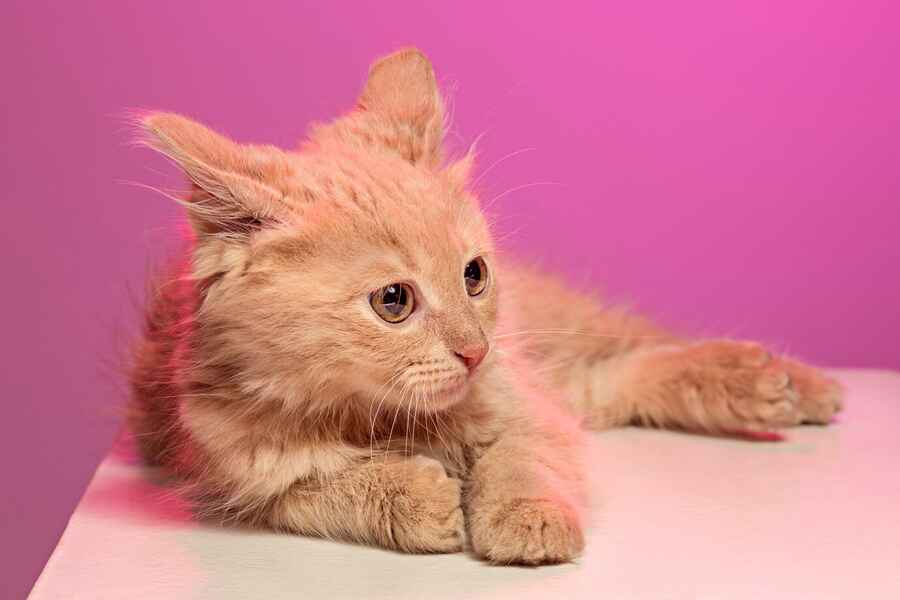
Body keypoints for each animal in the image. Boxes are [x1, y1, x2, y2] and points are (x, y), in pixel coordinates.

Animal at [128, 45, 844, 564]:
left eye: (473, 275)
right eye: (394, 301)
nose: (474, 350)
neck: (383, 416)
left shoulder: (520, 403)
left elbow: (520, 458)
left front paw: (527, 519)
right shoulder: (232, 470)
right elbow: (327, 487)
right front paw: (418, 499)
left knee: (625, 360)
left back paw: (782, 383)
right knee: (611, 384)